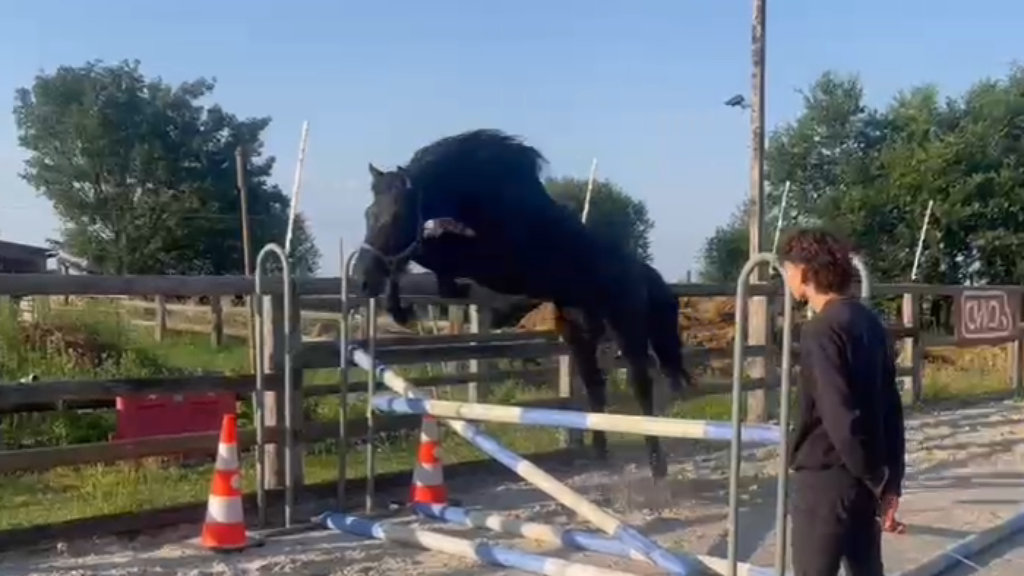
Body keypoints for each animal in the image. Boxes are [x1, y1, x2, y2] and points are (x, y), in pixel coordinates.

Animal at [350, 129, 694, 478]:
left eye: (395, 218)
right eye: (367, 214)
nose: (362, 280)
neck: (482, 196)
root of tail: (643, 274)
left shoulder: (495, 264)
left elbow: (429, 251)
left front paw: (405, 304)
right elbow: (432, 259)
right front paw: (401, 304)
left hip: (626, 327)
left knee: (641, 384)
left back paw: (657, 465)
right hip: (579, 330)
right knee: (595, 385)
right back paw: (600, 451)